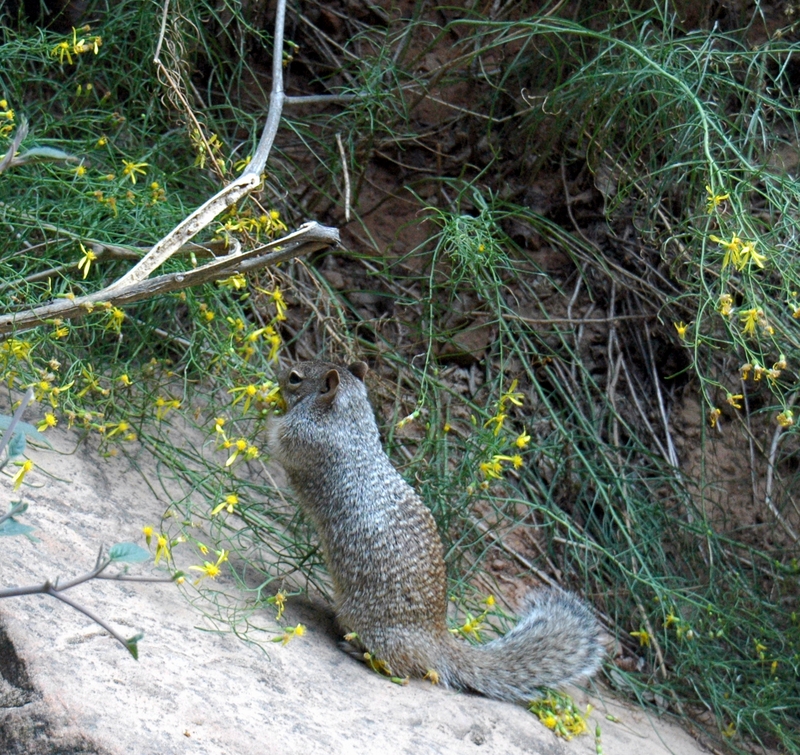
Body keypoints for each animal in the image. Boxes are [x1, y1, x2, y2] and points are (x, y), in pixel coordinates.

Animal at [266, 360, 604, 704]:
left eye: (294, 378)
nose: (276, 371)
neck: (351, 423)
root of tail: (435, 640)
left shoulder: (304, 439)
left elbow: (278, 440)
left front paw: (266, 411)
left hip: (372, 628)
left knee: (404, 669)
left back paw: (359, 653)